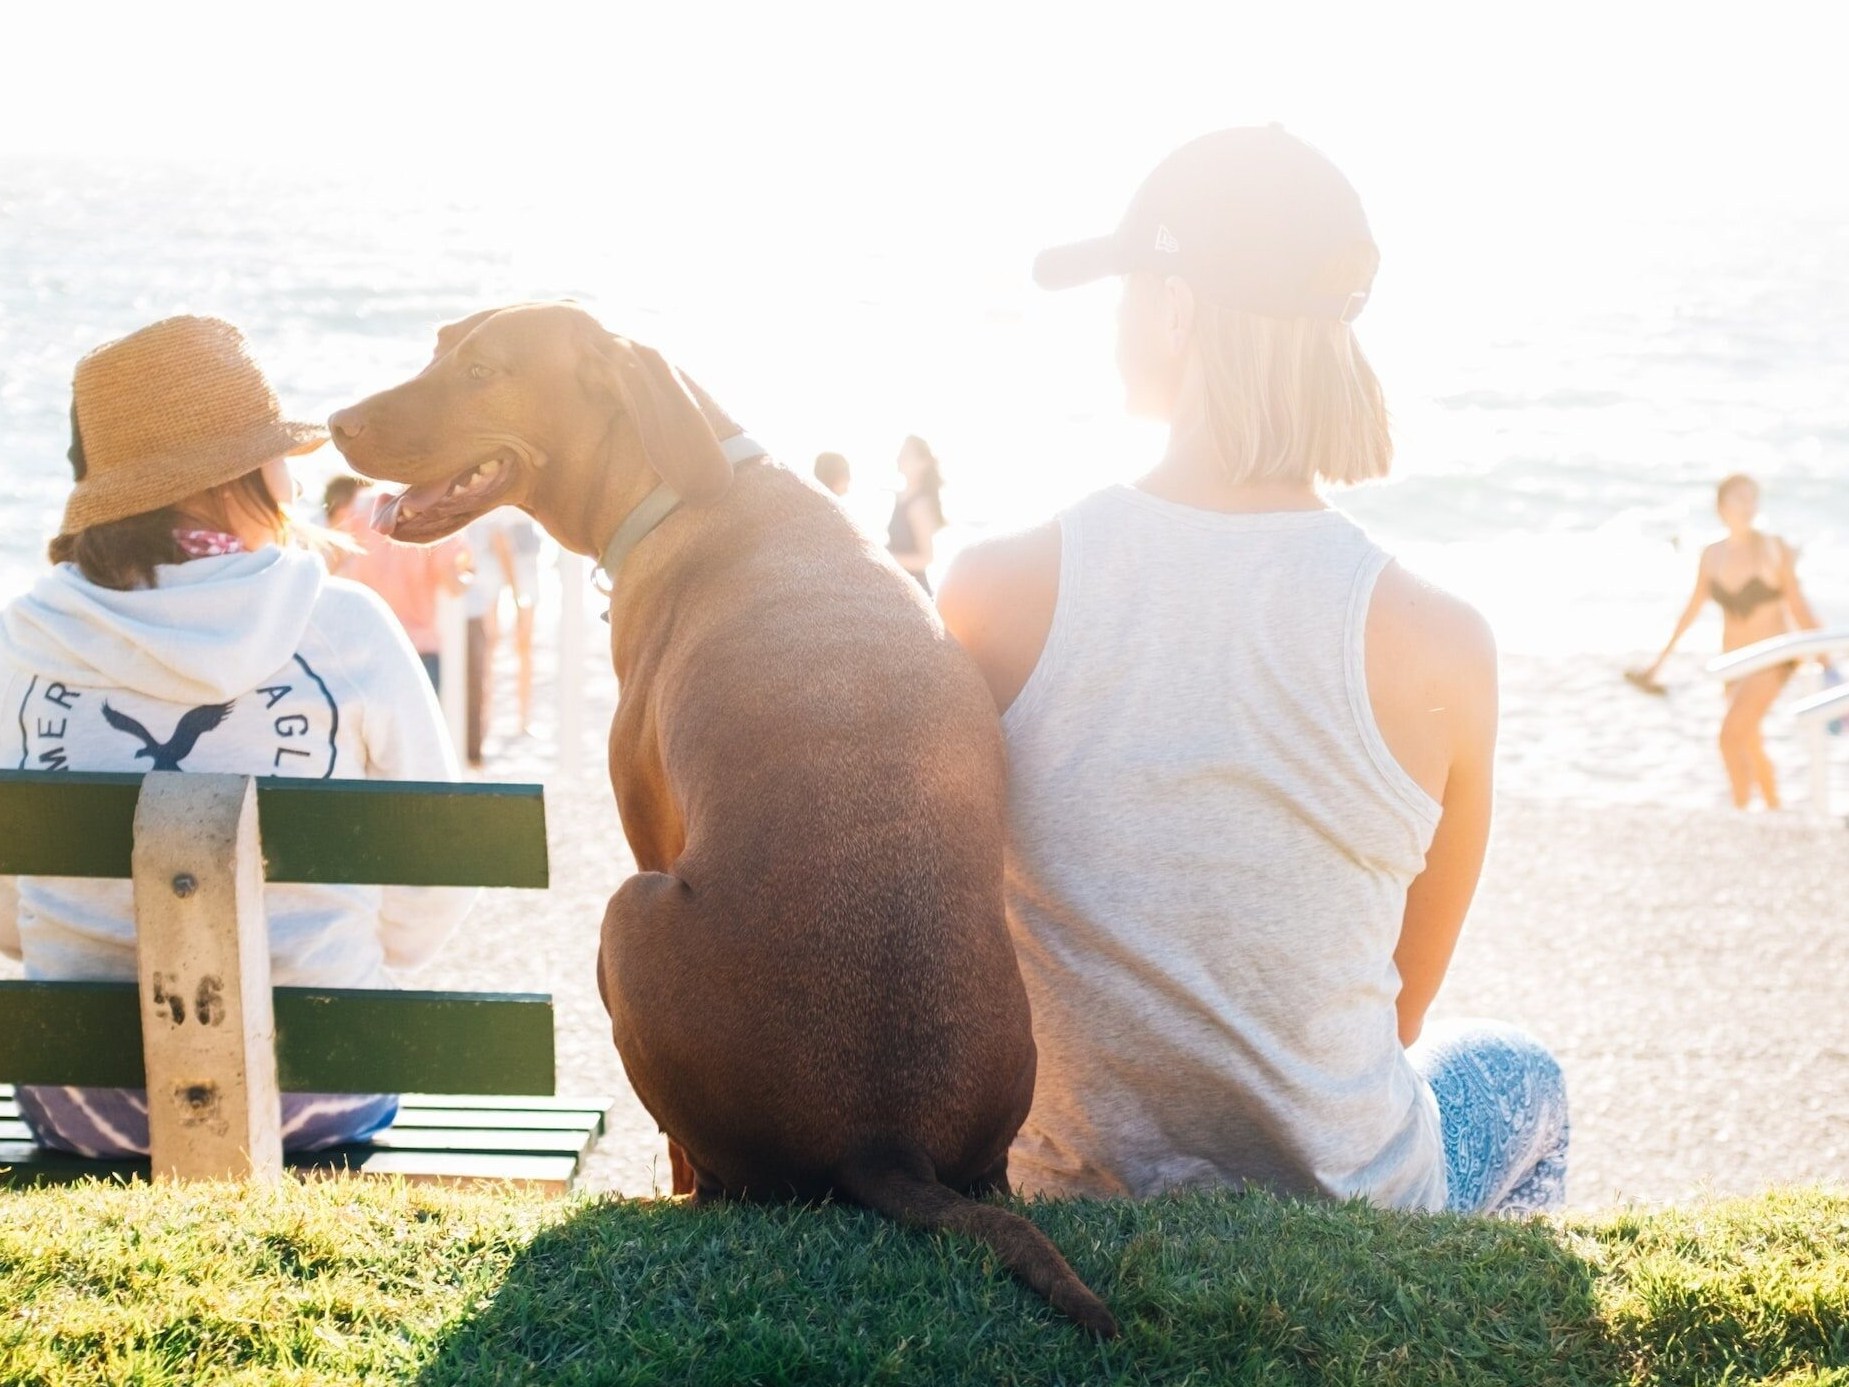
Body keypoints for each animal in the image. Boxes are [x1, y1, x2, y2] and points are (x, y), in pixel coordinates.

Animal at [327, 301, 1109, 1338]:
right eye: (438, 348)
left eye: (484, 370)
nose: (333, 422)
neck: (685, 481)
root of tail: (883, 1139)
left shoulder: (647, 826)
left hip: (625, 911)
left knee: (706, 1169)